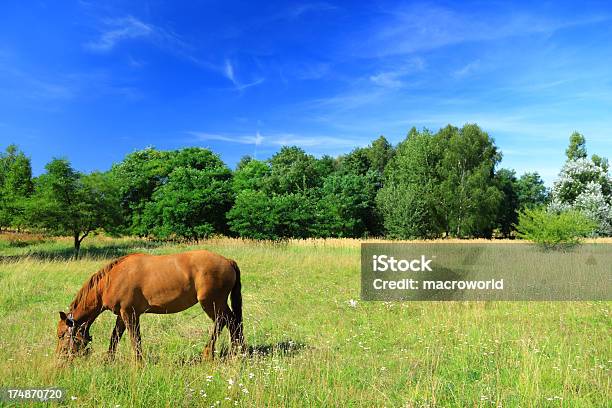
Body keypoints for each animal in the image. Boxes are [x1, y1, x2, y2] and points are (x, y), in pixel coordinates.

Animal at [56, 249, 244, 360]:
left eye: (61, 335)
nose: (59, 357)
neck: (112, 280)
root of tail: (228, 261)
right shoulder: (122, 315)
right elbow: (115, 336)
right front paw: (108, 360)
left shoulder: (130, 313)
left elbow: (135, 339)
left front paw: (138, 363)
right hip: (218, 304)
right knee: (233, 323)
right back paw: (237, 351)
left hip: (211, 303)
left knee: (223, 322)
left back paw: (209, 353)